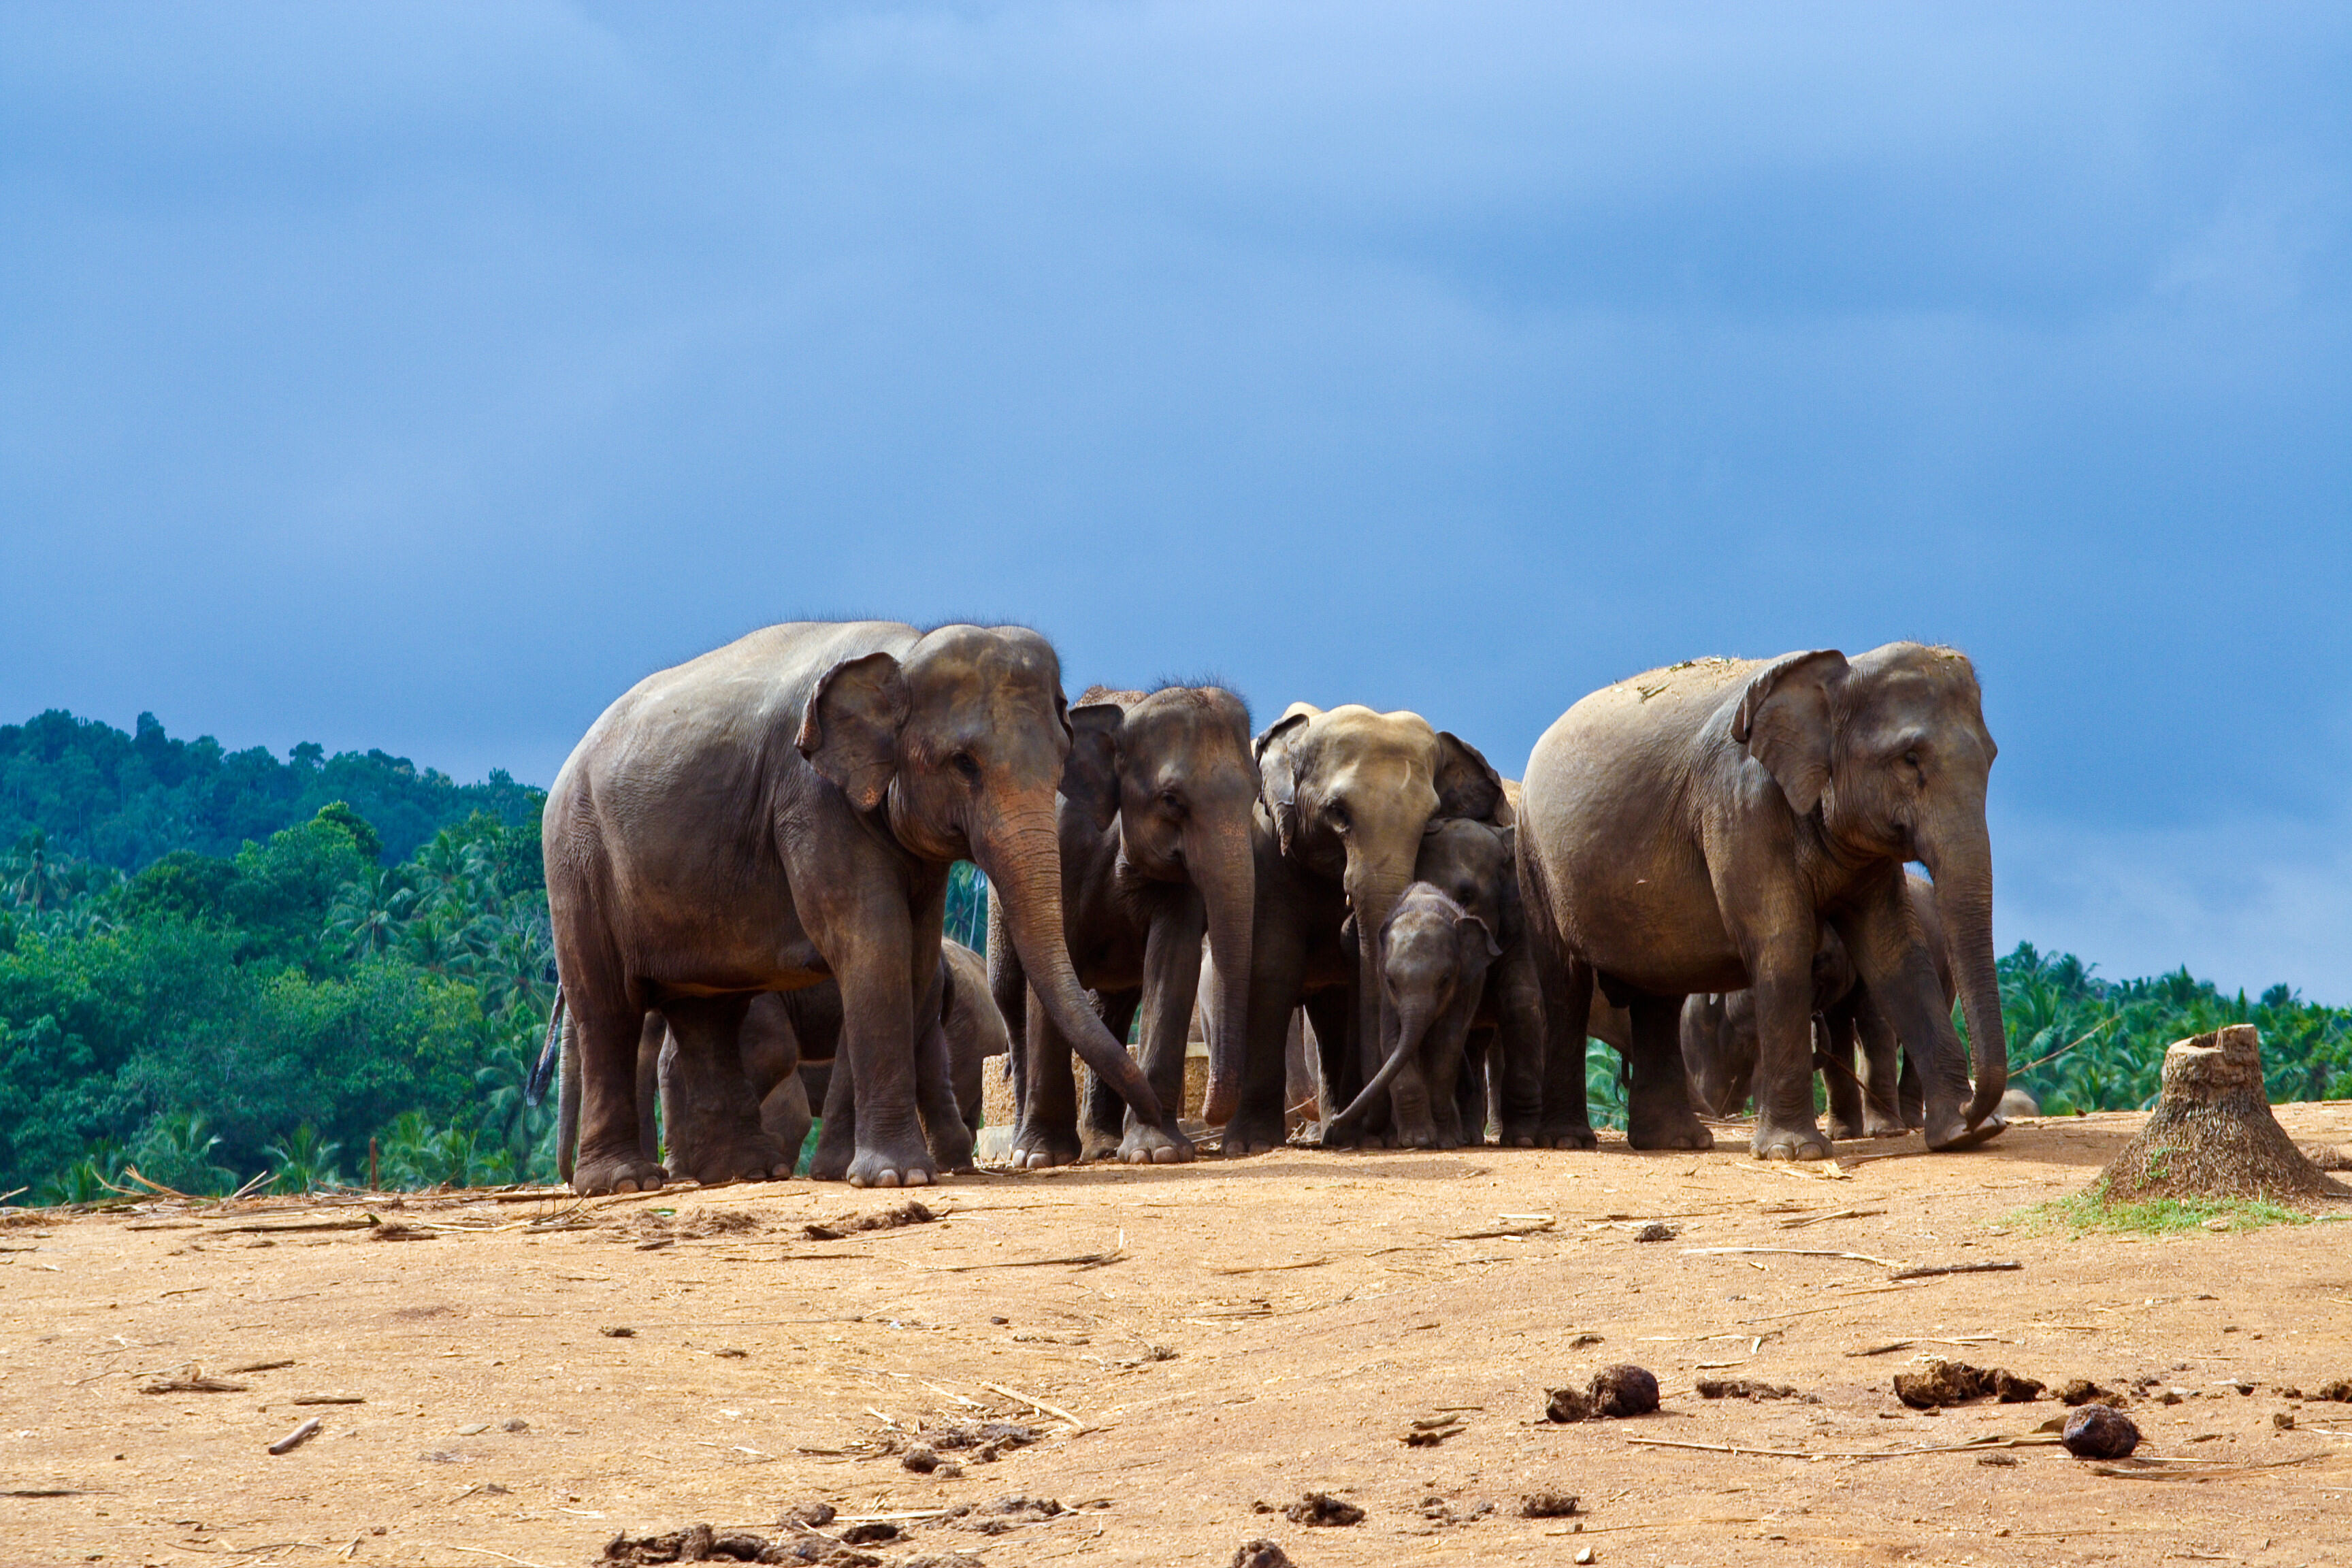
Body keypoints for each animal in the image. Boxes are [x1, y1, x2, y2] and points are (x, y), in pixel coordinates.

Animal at [545, 620, 1176, 1189]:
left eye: (1060, 761)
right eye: (963, 764)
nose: (1176, 1141)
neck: (904, 654)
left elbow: (907, 956)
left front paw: (853, 1172)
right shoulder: (812, 801)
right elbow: (872, 941)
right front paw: (898, 1177)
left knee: (709, 1014)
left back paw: (745, 1171)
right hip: (577, 862)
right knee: (608, 1006)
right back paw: (626, 1183)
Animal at [983, 681, 1260, 1166]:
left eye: (1255, 795)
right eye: (1172, 800)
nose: (1208, 1117)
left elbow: (1173, 963)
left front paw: (1158, 1151)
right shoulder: (1063, 846)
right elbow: (1053, 966)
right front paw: (1043, 1157)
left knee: (1110, 1009)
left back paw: (1104, 1145)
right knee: (1011, 994)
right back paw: (1024, 1144)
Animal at [1317, 883, 1496, 1152]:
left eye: (1445, 980)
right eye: (1391, 981)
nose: (1335, 1119)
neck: (1421, 906)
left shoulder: (1462, 990)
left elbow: (1446, 1045)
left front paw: (1442, 1141)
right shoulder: (1387, 996)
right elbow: (1393, 1041)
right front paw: (1418, 1140)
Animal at [1524, 644, 2004, 1161]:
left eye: (1992, 757)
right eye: (1909, 758)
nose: (1976, 1110)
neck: (1840, 674)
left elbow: (1895, 951)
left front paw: (1966, 1134)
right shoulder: (1740, 807)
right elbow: (1782, 941)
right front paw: (1795, 1152)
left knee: (1660, 994)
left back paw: (1675, 1141)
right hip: (1535, 860)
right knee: (1565, 985)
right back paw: (1570, 1139)